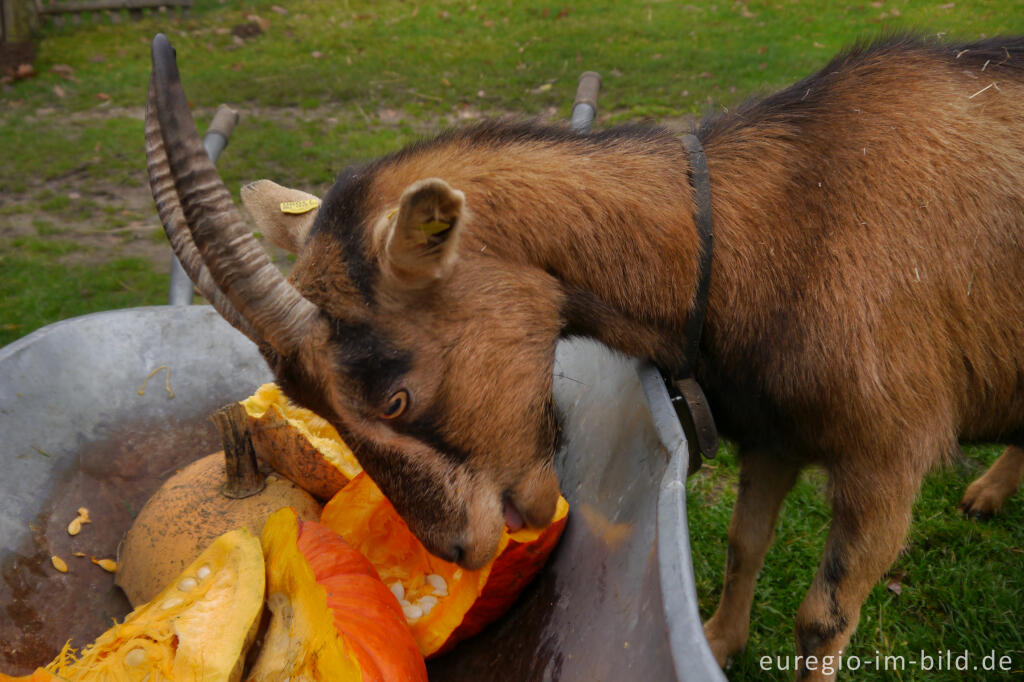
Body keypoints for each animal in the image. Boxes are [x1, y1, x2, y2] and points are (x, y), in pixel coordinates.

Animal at [146, 34, 1024, 675]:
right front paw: (712, 641)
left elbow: (823, 616)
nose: (459, 548)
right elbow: (744, 545)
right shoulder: (771, 431)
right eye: (307, 402)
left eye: (393, 395)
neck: (775, 221)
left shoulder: (887, 456)